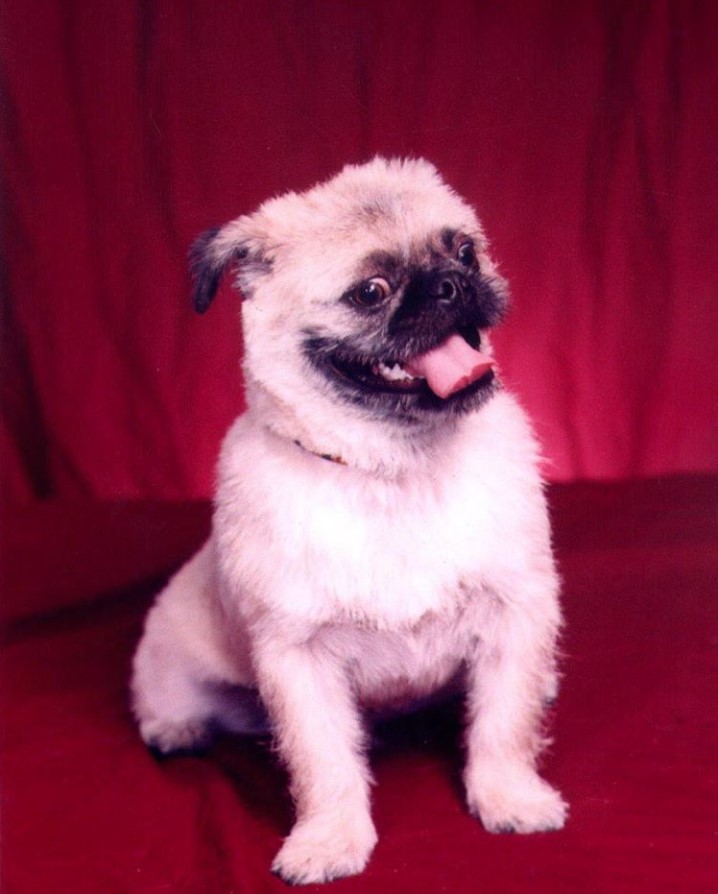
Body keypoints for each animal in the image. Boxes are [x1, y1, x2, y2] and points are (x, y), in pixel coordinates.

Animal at [129, 158, 568, 884]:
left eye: (465, 251)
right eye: (371, 292)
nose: (453, 283)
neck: (392, 469)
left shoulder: (515, 618)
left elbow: (504, 724)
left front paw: (509, 797)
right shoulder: (298, 659)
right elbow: (325, 764)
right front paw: (330, 840)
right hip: (170, 662)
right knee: (167, 704)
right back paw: (176, 730)